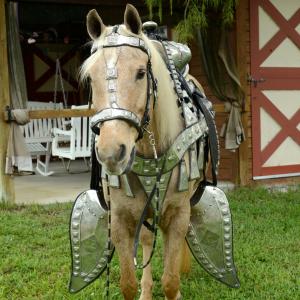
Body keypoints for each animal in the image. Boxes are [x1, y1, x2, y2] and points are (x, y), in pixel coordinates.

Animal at [79, 4, 211, 300]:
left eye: (141, 72)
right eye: (91, 78)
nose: (112, 153)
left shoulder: (178, 213)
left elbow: (171, 280)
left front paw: (176, 290)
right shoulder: (120, 219)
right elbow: (128, 283)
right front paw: (141, 288)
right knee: (149, 240)